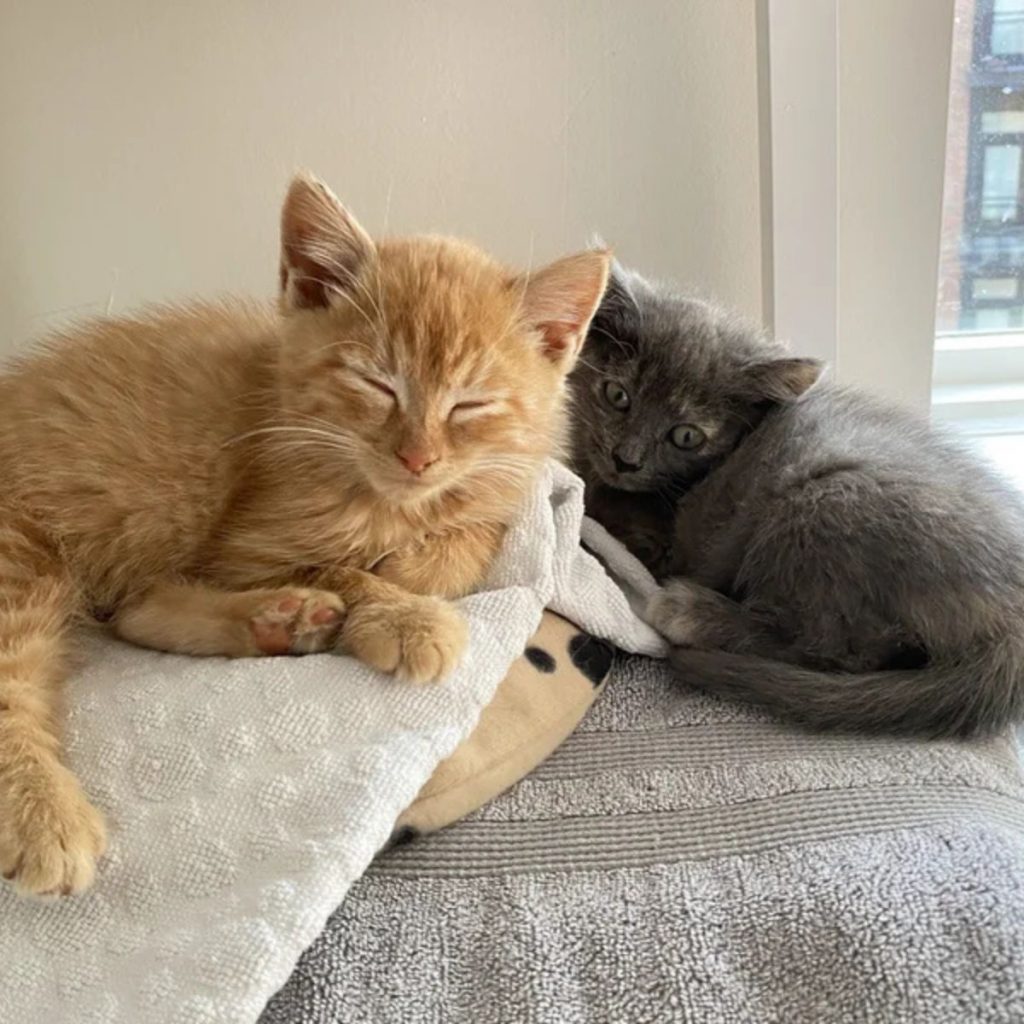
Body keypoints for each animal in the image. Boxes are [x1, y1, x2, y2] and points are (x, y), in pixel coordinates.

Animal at [0, 174, 606, 897]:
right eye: (377, 384)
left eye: (470, 403)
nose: (417, 458)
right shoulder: (243, 547)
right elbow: (338, 565)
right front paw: (404, 613)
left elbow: (470, 535)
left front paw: (415, 570)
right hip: (21, 550)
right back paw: (44, 818)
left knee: (135, 611)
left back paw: (283, 623)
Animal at [573, 264, 1024, 737]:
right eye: (617, 395)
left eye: (686, 436)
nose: (625, 460)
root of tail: (1013, 620)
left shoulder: (661, 539)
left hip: (824, 500)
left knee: (842, 648)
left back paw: (691, 612)